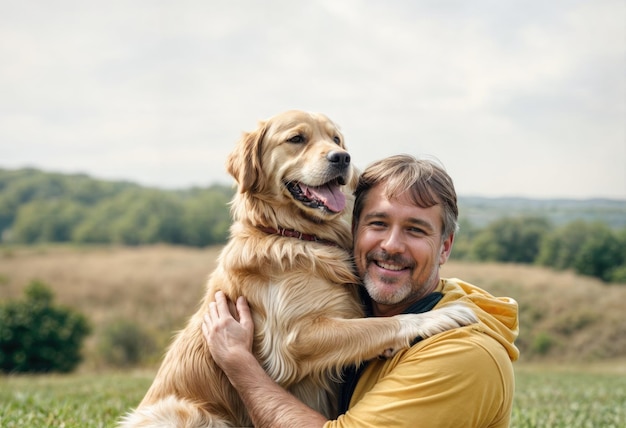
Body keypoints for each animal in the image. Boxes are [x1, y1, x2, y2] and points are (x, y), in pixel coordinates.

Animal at [120, 111, 472, 428]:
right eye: (296, 139)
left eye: (336, 139)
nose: (342, 158)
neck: (296, 235)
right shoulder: (291, 341)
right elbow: (377, 325)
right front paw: (439, 316)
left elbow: (370, 326)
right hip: (184, 413)